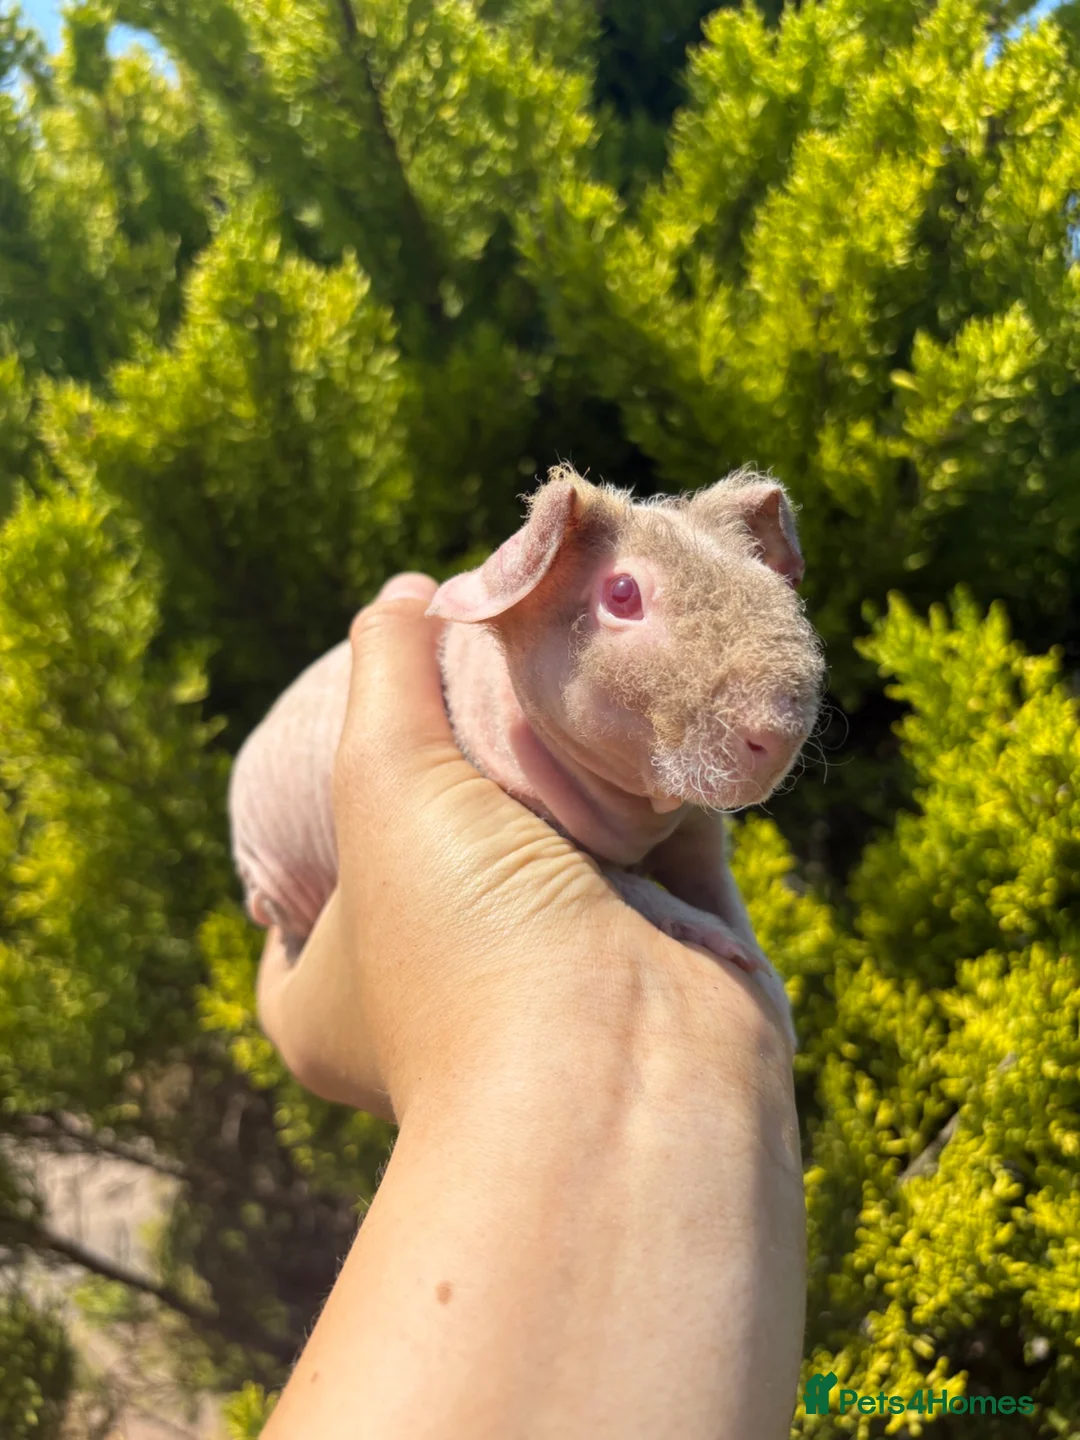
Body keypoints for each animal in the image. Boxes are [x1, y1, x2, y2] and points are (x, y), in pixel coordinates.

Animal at [228, 464, 825, 1047]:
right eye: (623, 593)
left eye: (764, 576)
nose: (780, 731)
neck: (640, 816)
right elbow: (632, 886)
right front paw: (732, 951)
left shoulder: (696, 835)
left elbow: (719, 890)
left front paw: (775, 997)